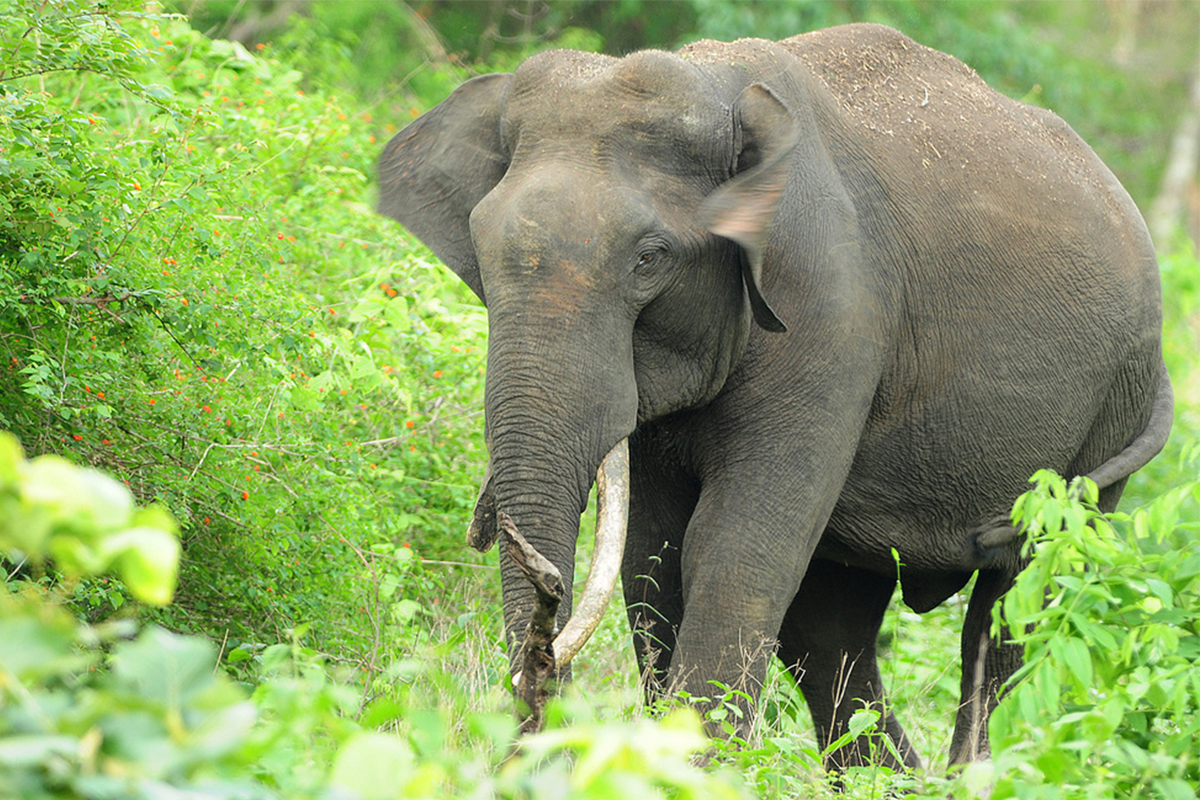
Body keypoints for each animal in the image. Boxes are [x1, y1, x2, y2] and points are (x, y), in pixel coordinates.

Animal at [376, 23, 1171, 767]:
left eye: (649, 259)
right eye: (479, 246)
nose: (538, 688)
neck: (717, 89)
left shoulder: (831, 311)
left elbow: (733, 548)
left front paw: (686, 772)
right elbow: (653, 556)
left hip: (1112, 408)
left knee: (1019, 597)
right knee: (831, 627)